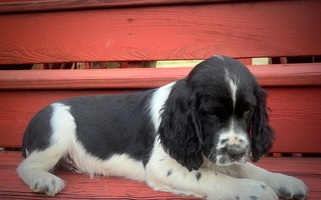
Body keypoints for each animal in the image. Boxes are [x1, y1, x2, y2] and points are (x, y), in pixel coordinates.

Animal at [17, 55, 308, 199]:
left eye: (248, 111)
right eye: (211, 114)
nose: (237, 152)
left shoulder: (218, 154)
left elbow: (248, 168)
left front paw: (284, 181)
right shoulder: (162, 167)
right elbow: (215, 177)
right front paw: (256, 191)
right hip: (57, 130)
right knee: (26, 166)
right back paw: (44, 180)